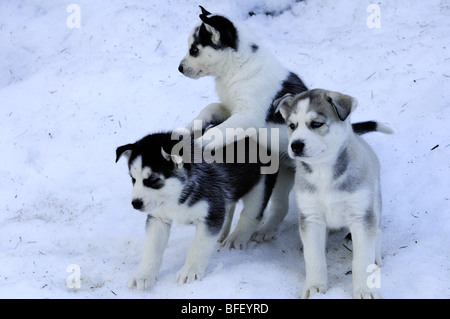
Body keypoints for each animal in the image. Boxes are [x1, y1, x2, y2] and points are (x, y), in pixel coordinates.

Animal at [115, 133, 278, 292]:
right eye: (133, 179)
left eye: (154, 179)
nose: (135, 203)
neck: (176, 197)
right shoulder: (158, 219)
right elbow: (152, 249)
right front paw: (143, 276)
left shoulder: (211, 214)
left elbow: (198, 246)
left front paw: (190, 271)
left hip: (260, 185)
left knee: (251, 214)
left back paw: (237, 238)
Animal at [178, 6, 388, 244]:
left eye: (194, 50)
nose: (179, 68)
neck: (239, 65)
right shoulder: (230, 108)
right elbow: (211, 107)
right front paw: (193, 126)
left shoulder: (247, 116)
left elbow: (221, 131)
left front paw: (201, 143)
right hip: (284, 174)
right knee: (280, 206)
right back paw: (266, 229)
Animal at [272, 89, 392, 298]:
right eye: (292, 126)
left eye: (316, 124)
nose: (295, 145)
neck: (323, 172)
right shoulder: (311, 217)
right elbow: (314, 257)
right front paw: (314, 287)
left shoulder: (361, 216)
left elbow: (361, 259)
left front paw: (364, 289)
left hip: (374, 204)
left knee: (377, 231)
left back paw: (376, 258)